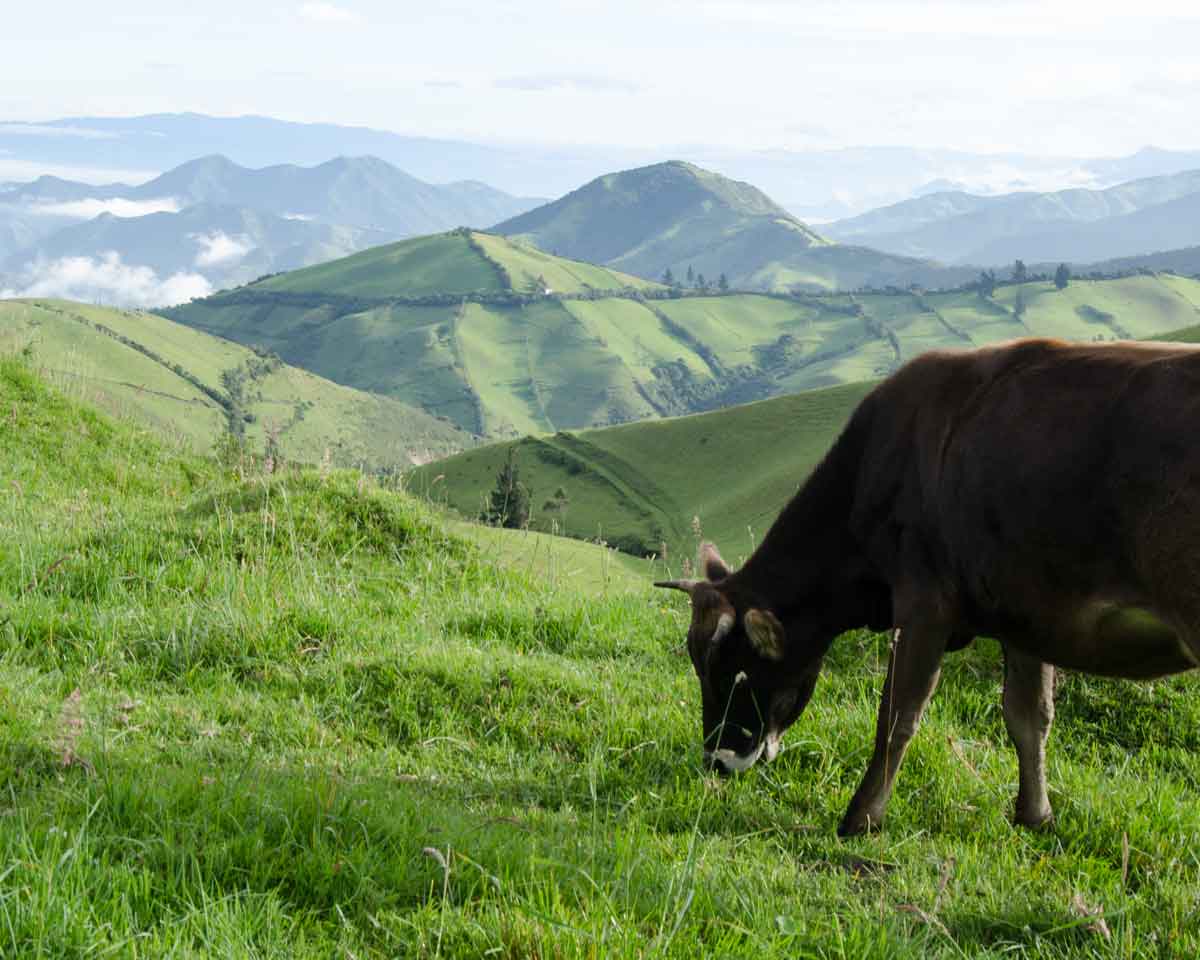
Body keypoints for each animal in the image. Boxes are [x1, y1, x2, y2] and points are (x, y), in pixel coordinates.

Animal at [657, 338, 1200, 830]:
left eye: (733, 672)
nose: (717, 761)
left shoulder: (924, 604)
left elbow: (897, 713)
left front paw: (861, 818)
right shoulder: (1025, 613)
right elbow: (1029, 717)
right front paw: (1035, 816)